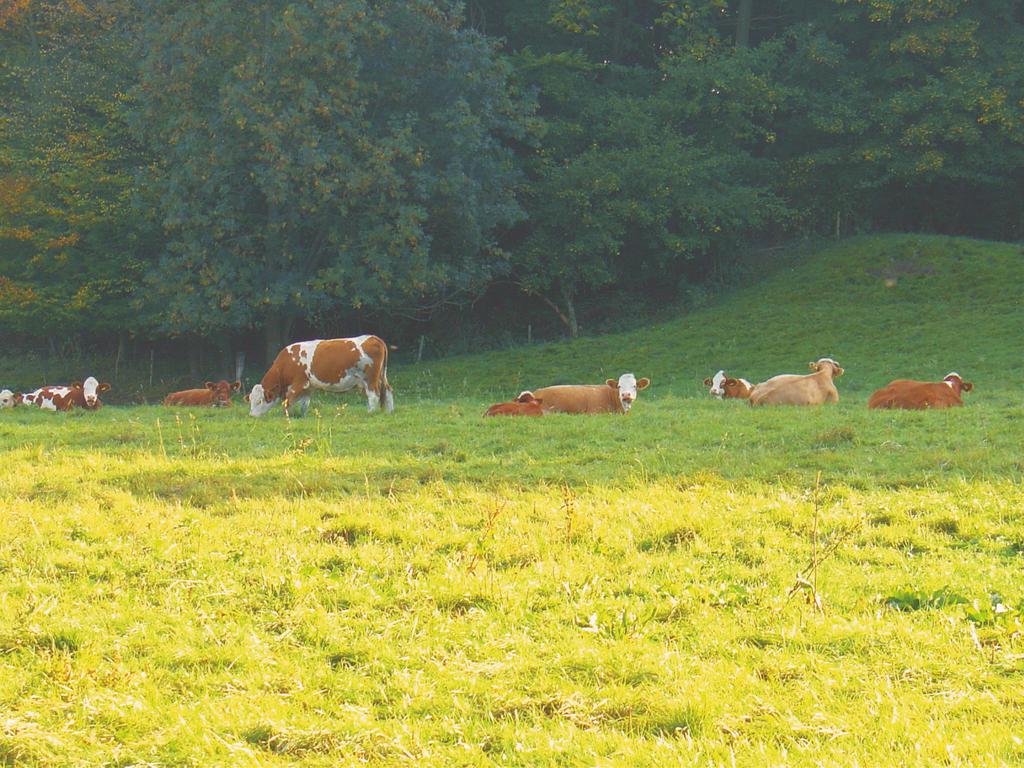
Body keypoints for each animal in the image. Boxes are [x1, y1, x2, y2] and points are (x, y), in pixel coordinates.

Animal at [245, 335, 393, 421]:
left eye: (259, 401)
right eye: (251, 400)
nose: (251, 415)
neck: (286, 363)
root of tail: (373, 337)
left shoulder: (298, 384)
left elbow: (288, 402)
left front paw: (287, 416)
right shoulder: (308, 387)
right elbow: (304, 404)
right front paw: (302, 417)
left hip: (370, 378)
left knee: (373, 395)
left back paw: (370, 413)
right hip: (381, 377)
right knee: (388, 391)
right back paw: (389, 411)